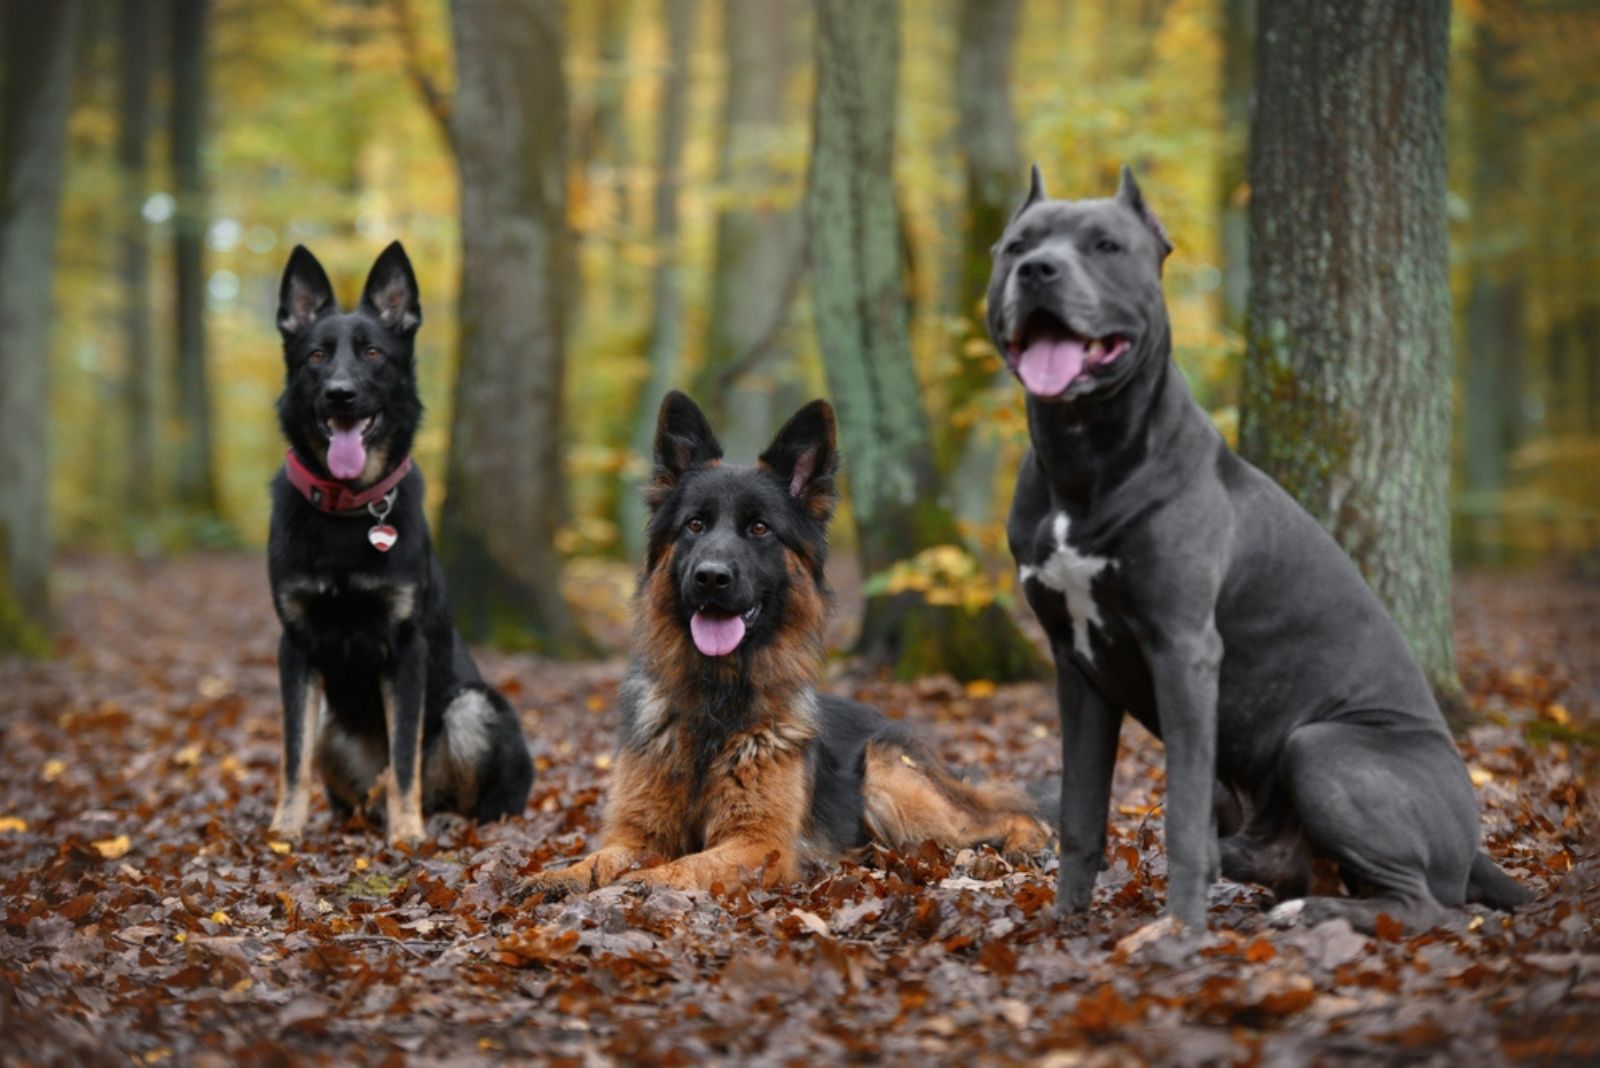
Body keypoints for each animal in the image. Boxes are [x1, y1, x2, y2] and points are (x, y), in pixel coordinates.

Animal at [265, 239, 534, 844]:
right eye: (316, 357)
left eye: (372, 353)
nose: (340, 395)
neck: (348, 509)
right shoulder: (295, 646)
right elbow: (291, 753)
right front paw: (285, 827)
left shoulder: (406, 647)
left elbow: (406, 749)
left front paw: (406, 833)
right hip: (334, 729)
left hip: (472, 706)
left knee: (454, 791)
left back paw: (432, 818)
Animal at [528, 391, 1049, 895]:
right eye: (695, 525)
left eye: (759, 528)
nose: (710, 577)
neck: (717, 696)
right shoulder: (637, 833)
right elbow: (602, 857)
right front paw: (562, 876)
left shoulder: (761, 843)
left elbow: (692, 864)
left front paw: (647, 882)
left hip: (897, 790)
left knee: (1009, 812)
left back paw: (1029, 842)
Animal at [992, 167, 1529, 933]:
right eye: (1015, 246)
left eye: (1105, 245)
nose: (1038, 270)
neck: (1083, 453)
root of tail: (1477, 845)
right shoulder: (1077, 665)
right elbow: (1080, 811)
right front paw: (1066, 921)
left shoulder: (1184, 651)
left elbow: (1179, 817)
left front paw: (1179, 931)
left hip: (1322, 746)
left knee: (1425, 907)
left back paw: (1309, 914)